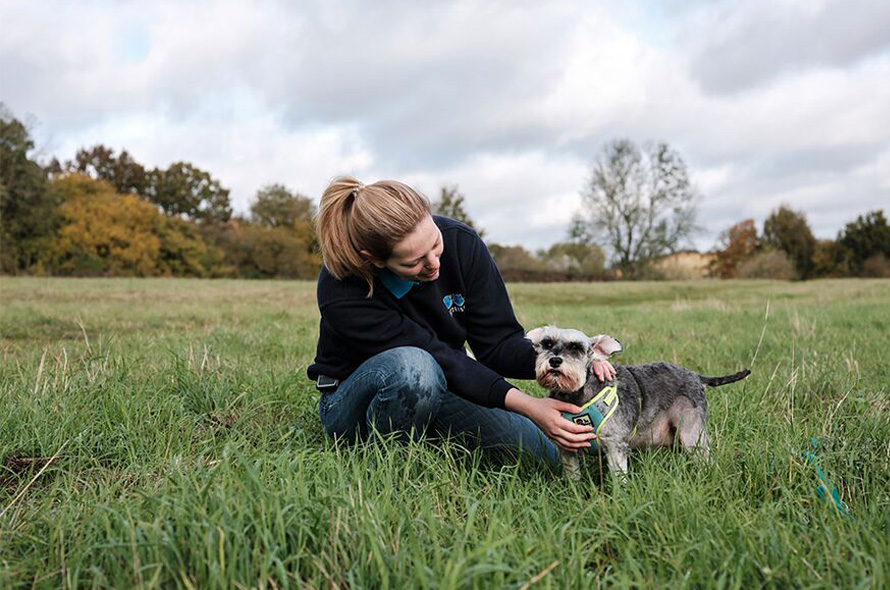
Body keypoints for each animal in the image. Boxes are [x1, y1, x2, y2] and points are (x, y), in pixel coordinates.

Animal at [528, 326, 748, 484]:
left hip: (692, 436)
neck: (576, 395)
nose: (555, 361)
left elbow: (619, 480)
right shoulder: (567, 449)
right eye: (547, 343)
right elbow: (573, 478)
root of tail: (696, 377)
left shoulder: (615, 446)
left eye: (576, 347)